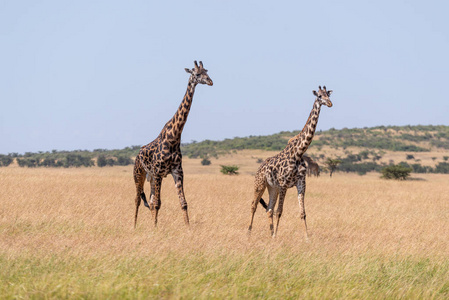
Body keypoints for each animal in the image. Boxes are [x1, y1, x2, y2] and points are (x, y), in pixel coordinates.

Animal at [132, 62, 213, 229]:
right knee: (137, 200)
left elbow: (183, 203)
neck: (174, 137)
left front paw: (188, 228)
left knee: (149, 201)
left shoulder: (177, 171)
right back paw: (134, 226)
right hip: (139, 174)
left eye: (206, 71)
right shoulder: (158, 172)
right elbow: (158, 203)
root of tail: (137, 155)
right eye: (197, 74)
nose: (210, 81)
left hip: (150, 177)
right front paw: (155, 229)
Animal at [247, 85, 330, 238]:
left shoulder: (301, 183)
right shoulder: (284, 184)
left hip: (272, 187)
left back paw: (270, 233)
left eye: (328, 95)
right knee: (254, 205)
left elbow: (302, 213)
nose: (329, 103)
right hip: (260, 184)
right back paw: (249, 233)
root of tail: (259, 168)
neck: (298, 152)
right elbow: (279, 211)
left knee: (269, 209)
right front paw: (276, 236)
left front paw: (307, 237)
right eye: (319, 96)